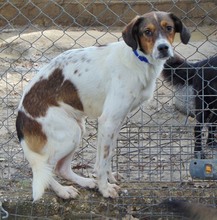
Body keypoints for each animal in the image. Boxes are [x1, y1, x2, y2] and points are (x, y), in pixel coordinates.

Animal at [16, 11, 191, 201]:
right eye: (147, 32)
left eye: (169, 28)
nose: (163, 48)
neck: (138, 60)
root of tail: (20, 116)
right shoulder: (108, 121)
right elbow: (103, 161)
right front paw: (105, 189)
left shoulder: (115, 122)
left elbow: (106, 156)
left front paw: (109, 178)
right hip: (69, 134)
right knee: (45, 169)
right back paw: (63, 191)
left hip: (78, 129)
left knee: (61, 168)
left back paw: (85, 182)